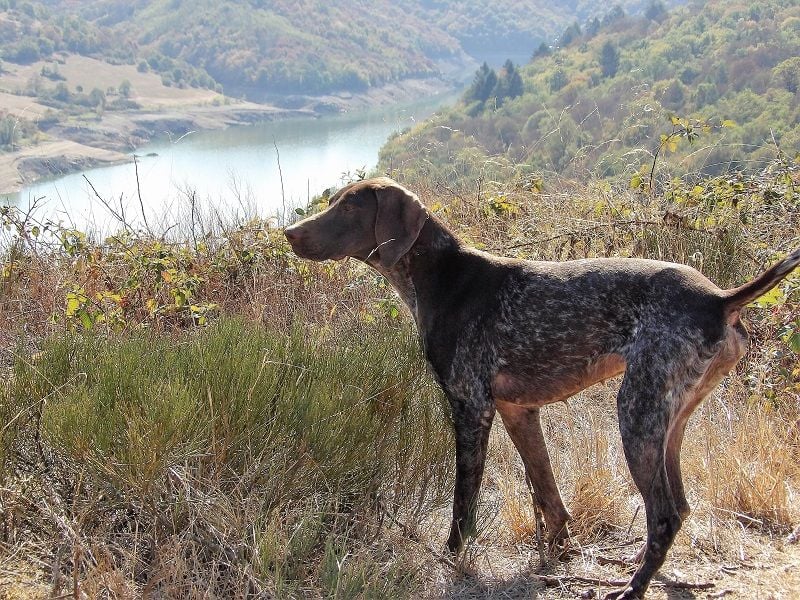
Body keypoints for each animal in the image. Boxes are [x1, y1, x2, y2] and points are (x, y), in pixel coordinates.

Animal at [284, 176, 796, 596]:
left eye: (351, 207)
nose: (290, 232)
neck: (439, 275)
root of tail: (717, 298)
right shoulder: (518, 411)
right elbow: (549, 495)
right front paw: (557, 555)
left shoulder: (471, 408)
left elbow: (463, 505)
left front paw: (451, 560)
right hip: (670, 418)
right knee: (679, 507)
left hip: (636, 412)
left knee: (666, 513)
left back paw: (632, 588)